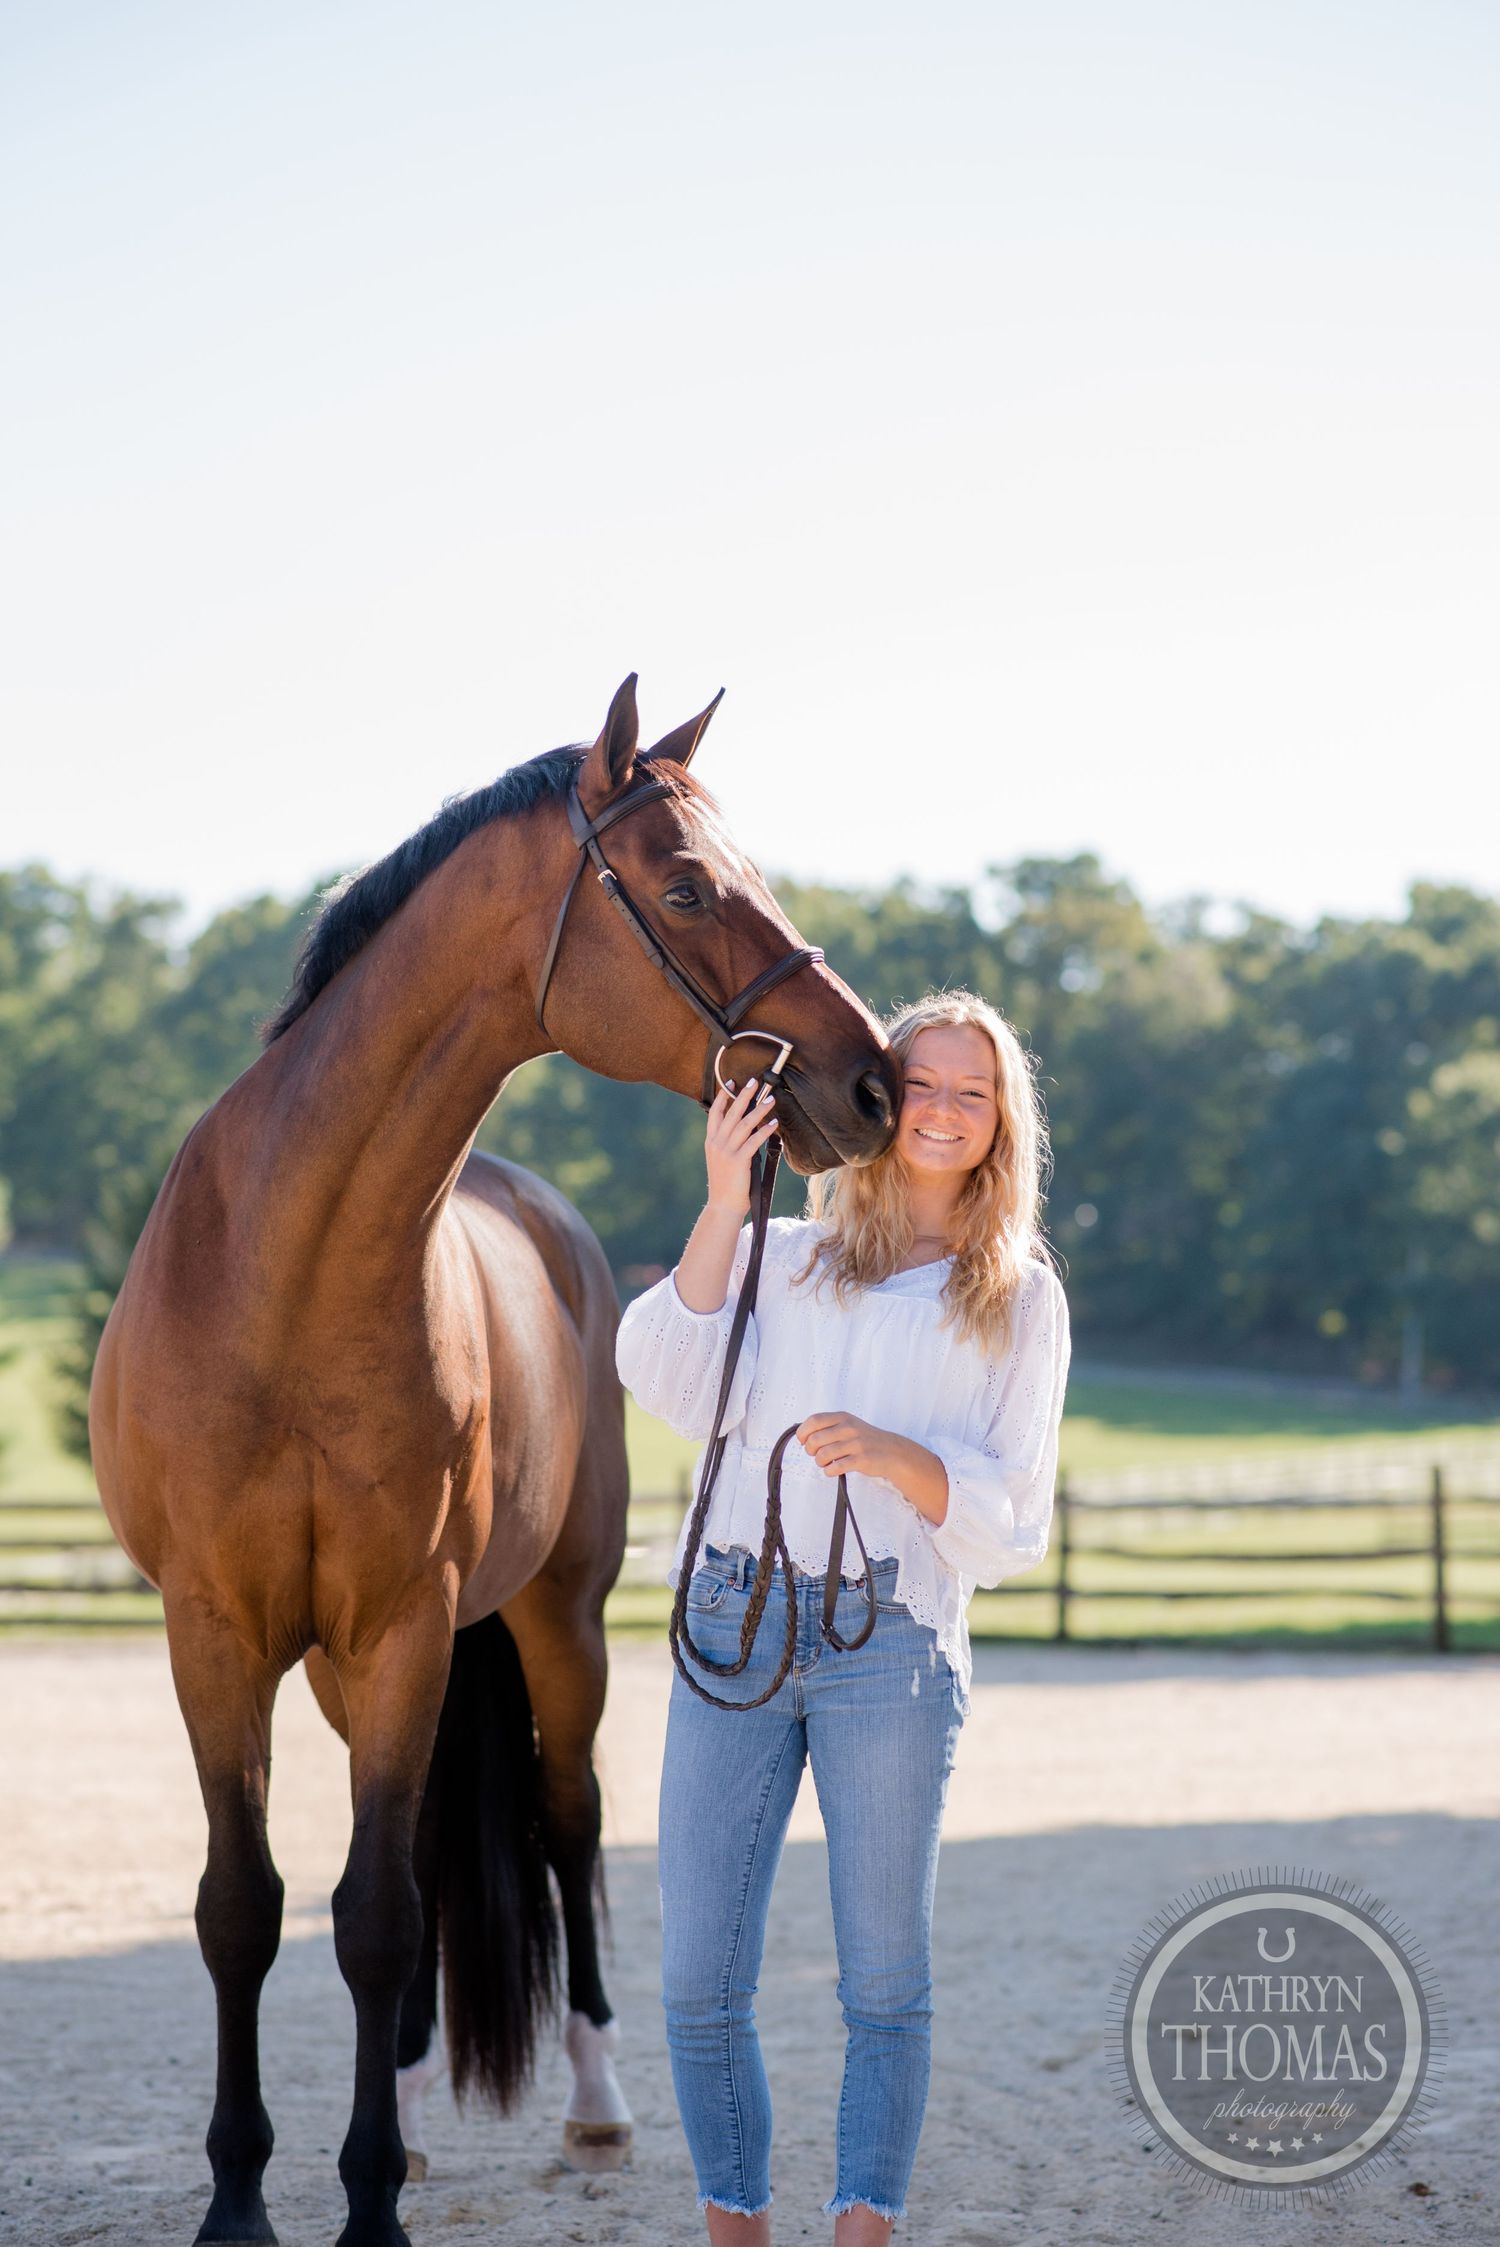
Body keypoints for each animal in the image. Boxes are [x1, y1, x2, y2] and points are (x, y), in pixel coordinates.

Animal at [88, 674, 899, 2247]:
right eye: (689, 884)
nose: (874, 1083)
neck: (286, 1276)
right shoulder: (217, 1631)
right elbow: (248, 1904)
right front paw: (245, 2197)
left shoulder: (406, 1623)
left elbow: (380, 1915)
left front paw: (364, 2208)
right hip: (356, 1664)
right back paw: (402, 2110)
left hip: (551, 1624)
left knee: (567, 1823)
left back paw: (592, 2098)